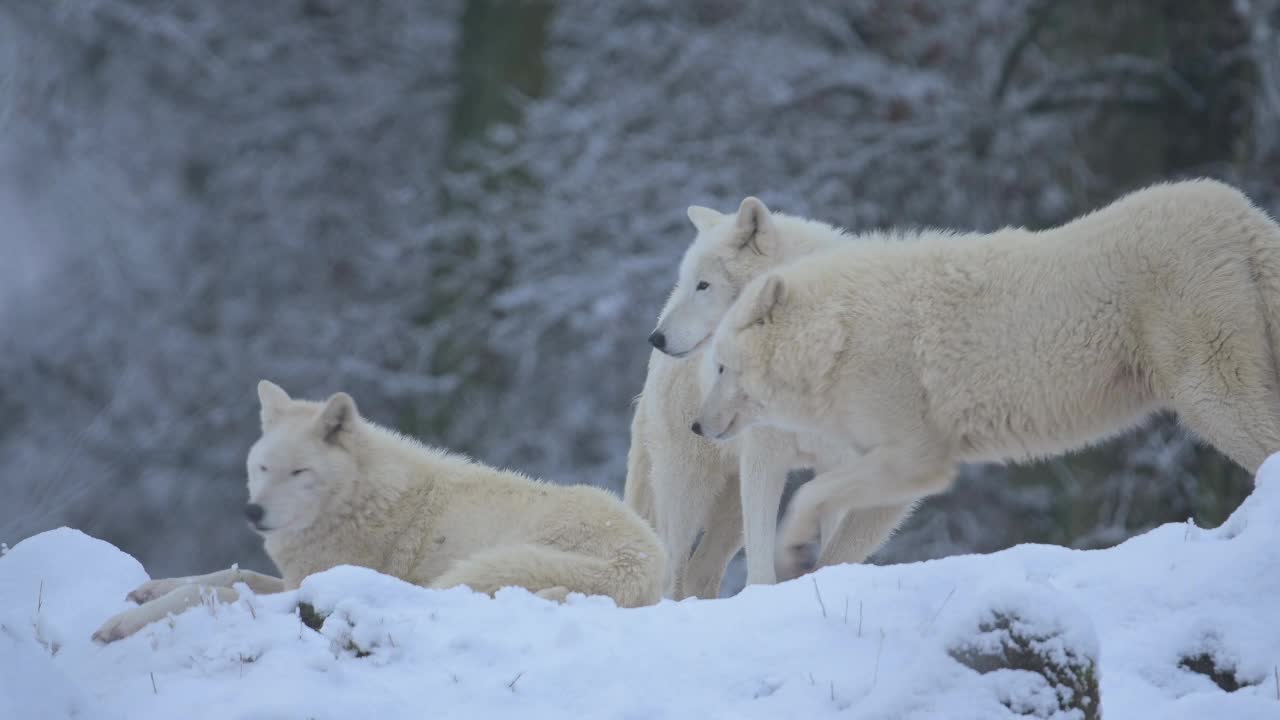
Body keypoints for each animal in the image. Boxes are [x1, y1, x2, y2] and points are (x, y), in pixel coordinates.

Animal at [94, 379, 665, 640]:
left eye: (299, 473)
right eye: (261, 467)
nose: (253, 514)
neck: (362, 498)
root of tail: (646, 564)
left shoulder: (306, 582)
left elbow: (218, 590)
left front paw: (122, 624)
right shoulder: (297, 575)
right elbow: (227, 574)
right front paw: (150, 589)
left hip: (491, 564)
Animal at [624, 194, 916, 594]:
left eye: (703, 285)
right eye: (688, 282)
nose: (657, 337)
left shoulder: (840, 461)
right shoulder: (764, 455)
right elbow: (762, 565)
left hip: (727, 501)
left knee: (700, 570)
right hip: (688, 483)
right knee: (673, 570)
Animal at [696, 179, 1280, 576]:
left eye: (721, 365)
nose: (697, 427)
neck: (839, 332)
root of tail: (1242, 214)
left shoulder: (917, 454)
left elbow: (813, 493)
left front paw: (793, 548)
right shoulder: (898, 471)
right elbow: (843, 537)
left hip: (1209, 391)